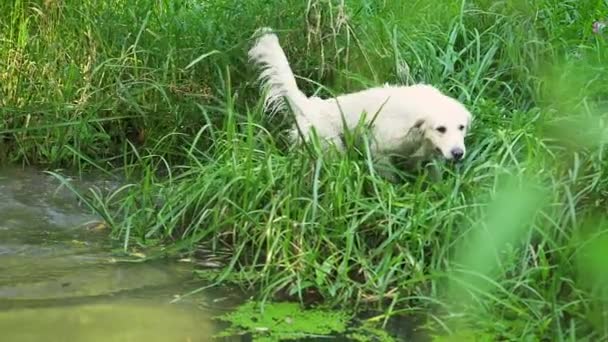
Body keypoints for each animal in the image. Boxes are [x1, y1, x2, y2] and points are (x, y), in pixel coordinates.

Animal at [247, 27, 470, 179]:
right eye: (440, 128)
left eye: (461, 127)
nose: (458, 154)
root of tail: (310, 105)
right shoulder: (380, 152)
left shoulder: (424, 158)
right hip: (331, 147)